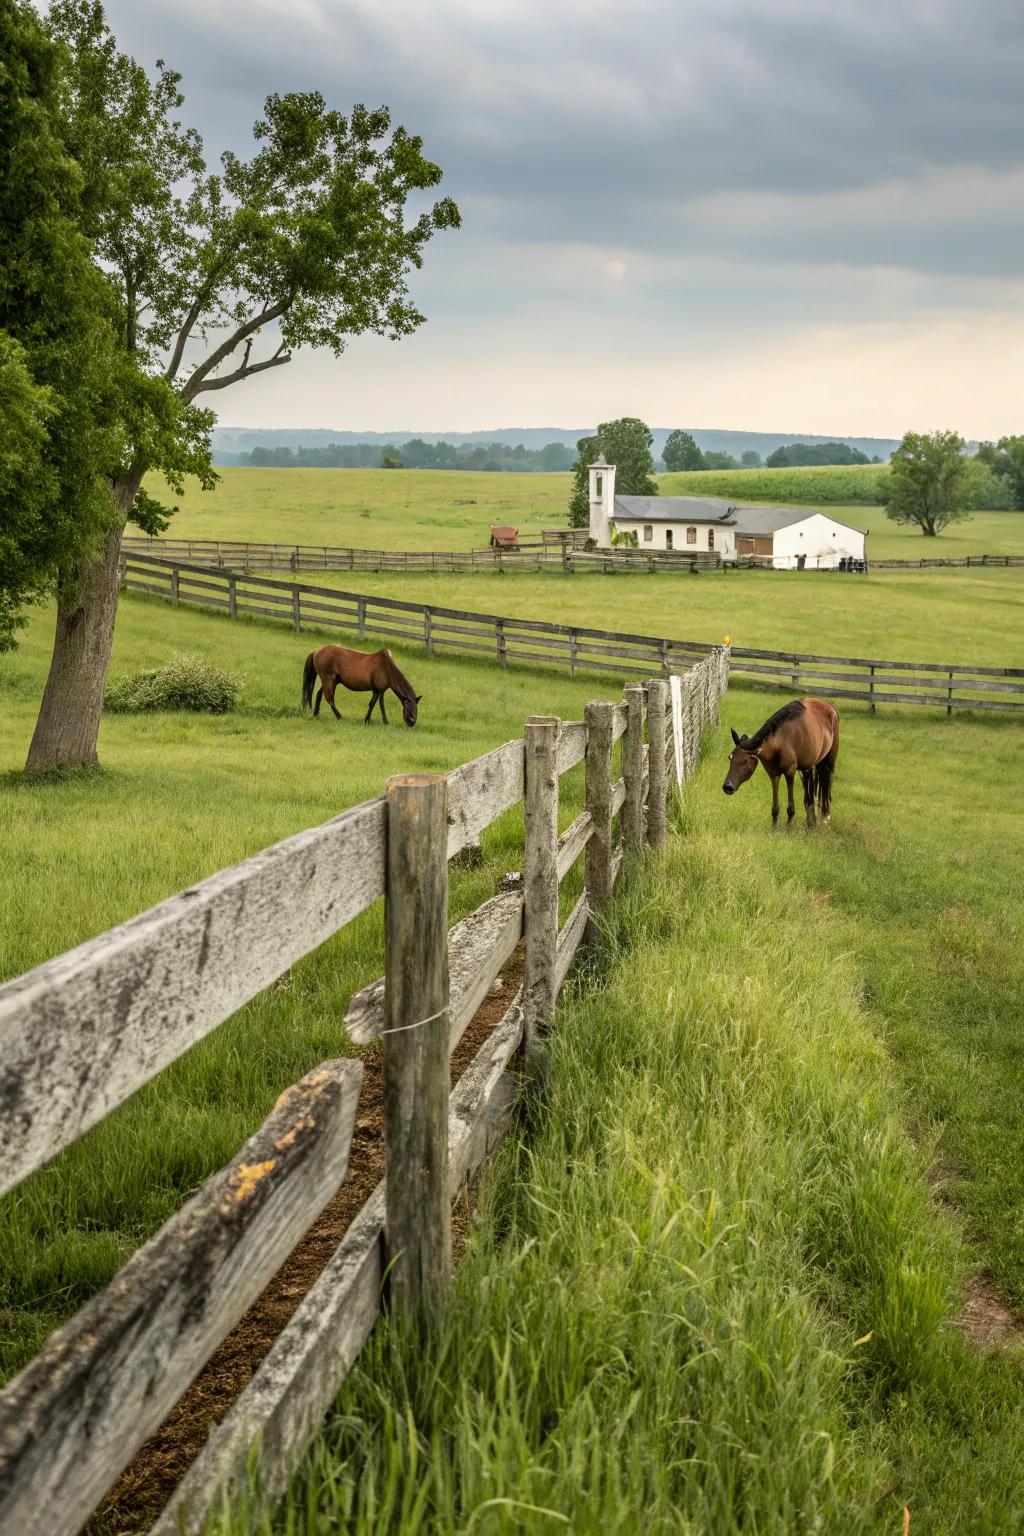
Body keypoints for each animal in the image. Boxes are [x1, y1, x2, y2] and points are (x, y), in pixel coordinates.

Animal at [721, 700, 841, 829]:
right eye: (730, 757)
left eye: (745, 761)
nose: (727, 786)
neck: (782, 741)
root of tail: (831, 706)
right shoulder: (774, 774)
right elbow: (775, 807)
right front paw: (774, 827)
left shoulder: (790, 773)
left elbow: (791, 807)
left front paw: (788, 827)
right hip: (808, 767)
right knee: (811, 788)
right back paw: (811, 821)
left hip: (829, 761)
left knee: (827, 782)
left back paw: (825, 818)